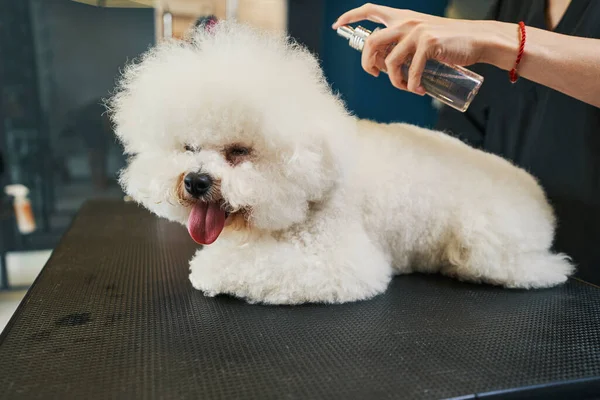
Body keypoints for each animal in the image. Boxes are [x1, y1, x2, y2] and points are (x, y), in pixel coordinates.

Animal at [109, 21, 576, 304]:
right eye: (187, 147)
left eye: (239, 151)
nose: (196, 181)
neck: (315, 185)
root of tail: (538, 194)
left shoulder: (339, 261)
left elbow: (241, 266)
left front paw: (211, 268)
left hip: (487, 244)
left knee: (538, 269)